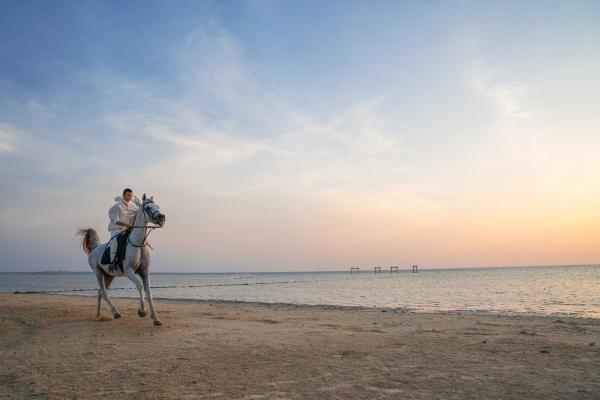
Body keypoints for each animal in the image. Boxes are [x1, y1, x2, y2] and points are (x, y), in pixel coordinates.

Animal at [78, 194, 166, 324]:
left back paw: (99, 315)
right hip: (98, 273)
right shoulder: (129, 271)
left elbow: (149, 292)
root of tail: (95, 249)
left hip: (109, 275)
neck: (138, 244)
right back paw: (115, 313)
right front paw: (142, 311)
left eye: (158, 206)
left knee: (100, 292)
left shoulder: (144, 272)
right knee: (104, 292)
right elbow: (140, 286)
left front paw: (155, 318)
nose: (162, 217)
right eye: (148, 207)